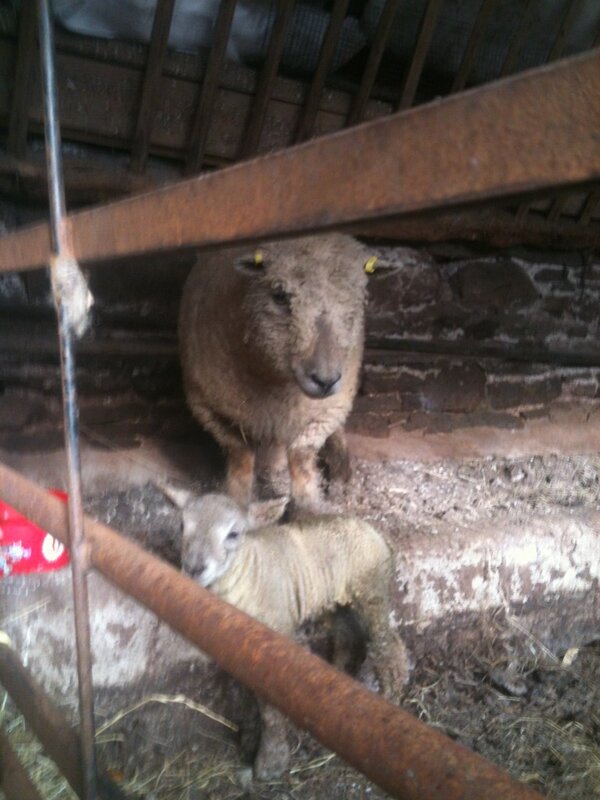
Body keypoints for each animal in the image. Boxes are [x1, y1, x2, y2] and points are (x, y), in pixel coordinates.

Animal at [165, 487, 408, 780]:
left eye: (233, 534)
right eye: (182, 525)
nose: (193, 568)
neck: (247, 571)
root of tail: (375, 530)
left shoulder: (276, 637)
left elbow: (270, 708)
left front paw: (271, 760)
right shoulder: (240, 645)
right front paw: (250, 739)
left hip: (372, 590)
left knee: (388, 644)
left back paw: (392, 696)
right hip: (335, 600)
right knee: (348, 638)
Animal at [178, 233, 370, 511]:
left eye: (361, 297)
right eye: (279, 295)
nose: (325, 380)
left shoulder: (326, 412)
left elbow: (301, 459)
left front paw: (307, 506)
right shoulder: (207, 407)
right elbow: (241, 456)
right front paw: (237, 499)